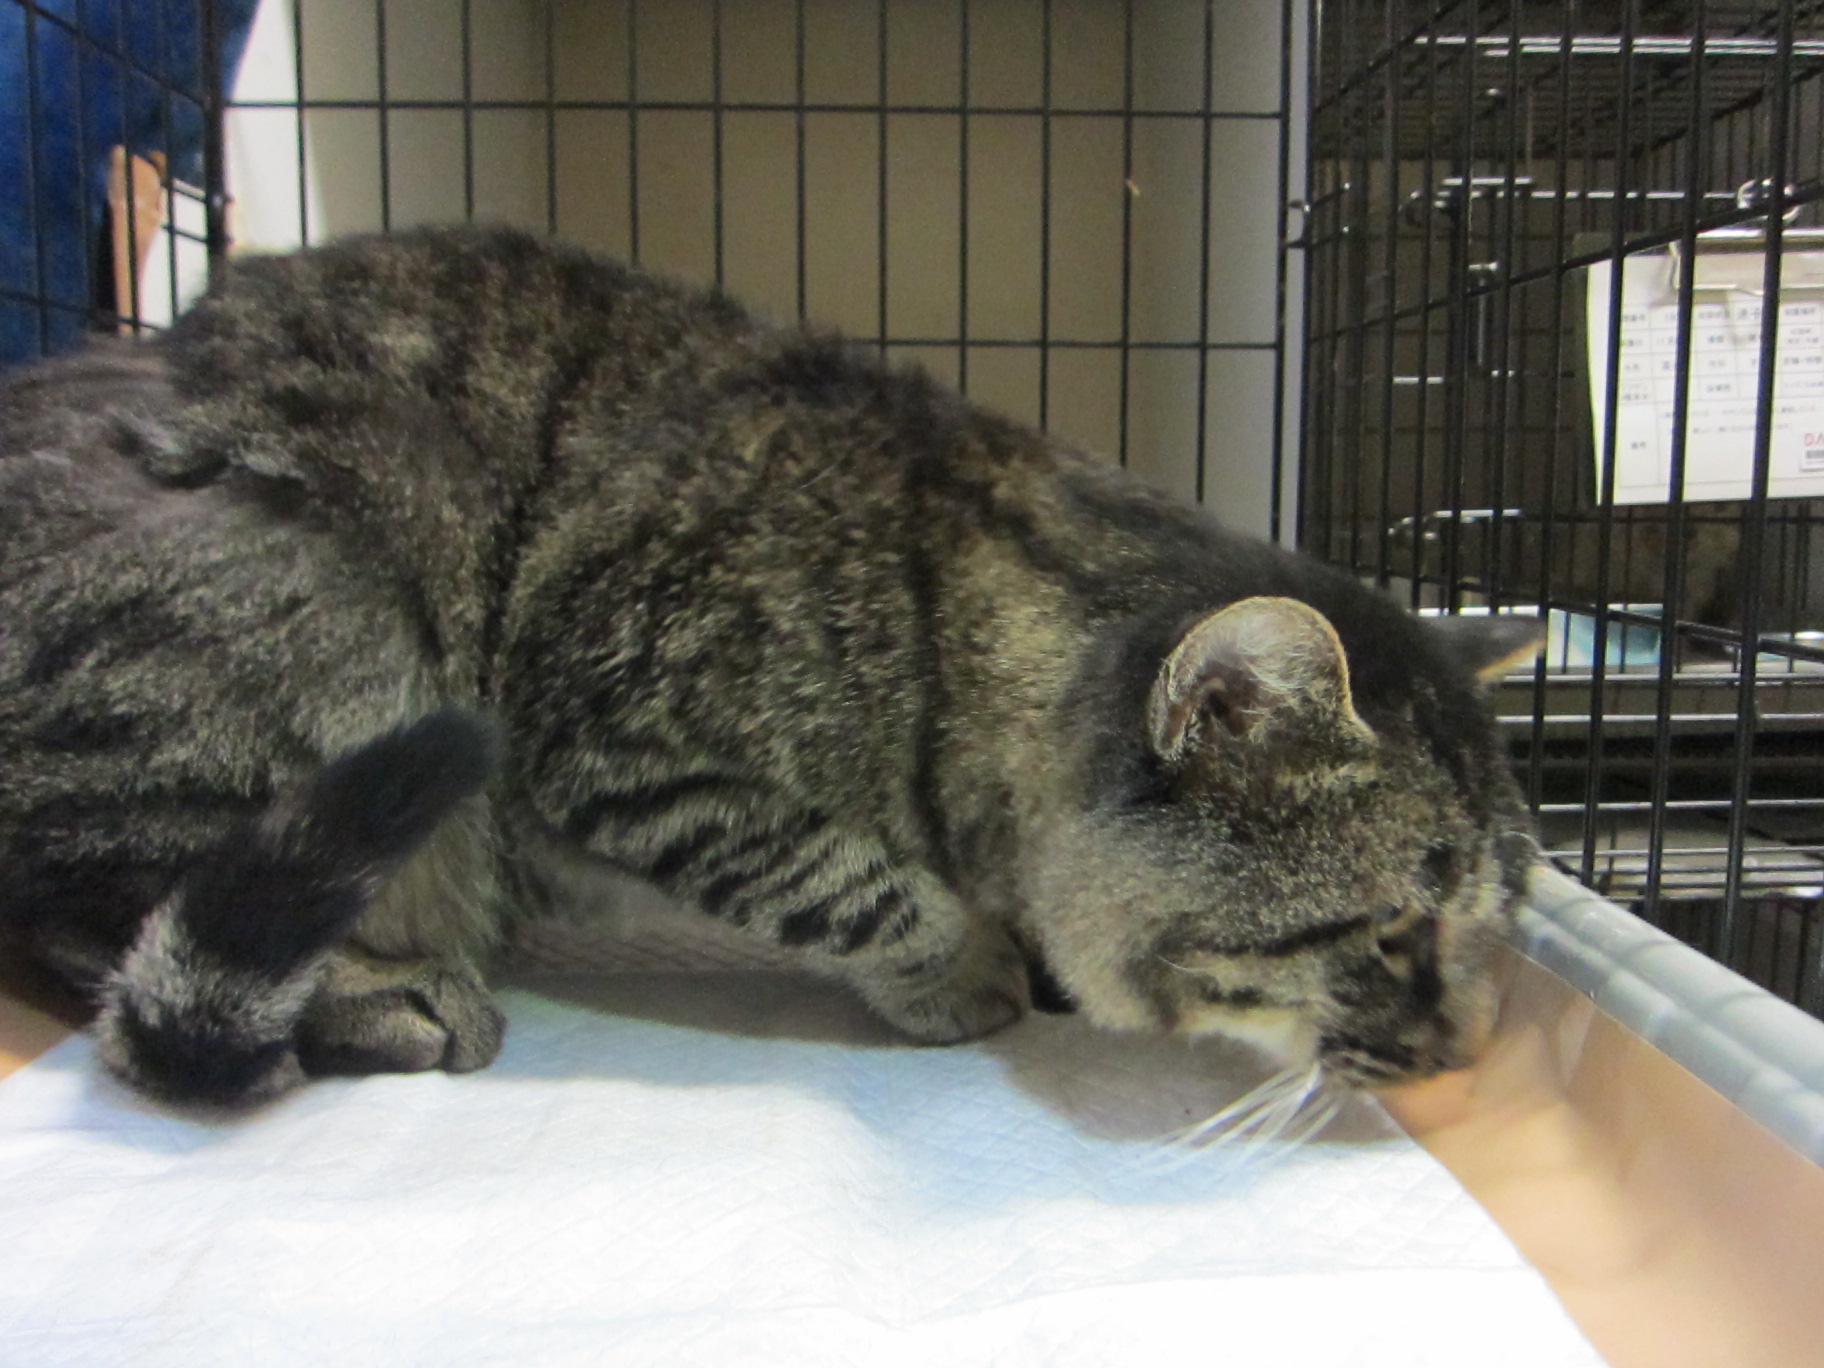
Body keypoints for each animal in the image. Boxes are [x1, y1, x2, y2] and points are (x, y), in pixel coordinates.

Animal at [0, 225, 1544, 1109]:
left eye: (1492, 929)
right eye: (1393, 932)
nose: (1473, 1053)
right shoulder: (608, 734)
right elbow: (852, 881)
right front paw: (964, 966)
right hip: (316, 620)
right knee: (101, 924)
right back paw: (375, 991)